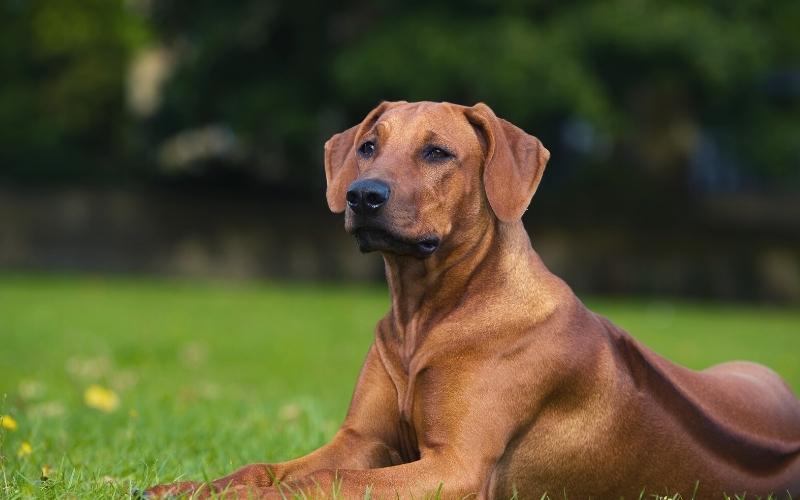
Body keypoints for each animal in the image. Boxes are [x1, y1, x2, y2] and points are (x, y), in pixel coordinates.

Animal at [148, 102, 800, 500]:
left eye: (438, 153)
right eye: (367, 147)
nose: (362, 195)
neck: (425, 315)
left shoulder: (455, 467)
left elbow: (321, 481)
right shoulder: (362, 441)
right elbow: (269, 466)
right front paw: (189, 487)